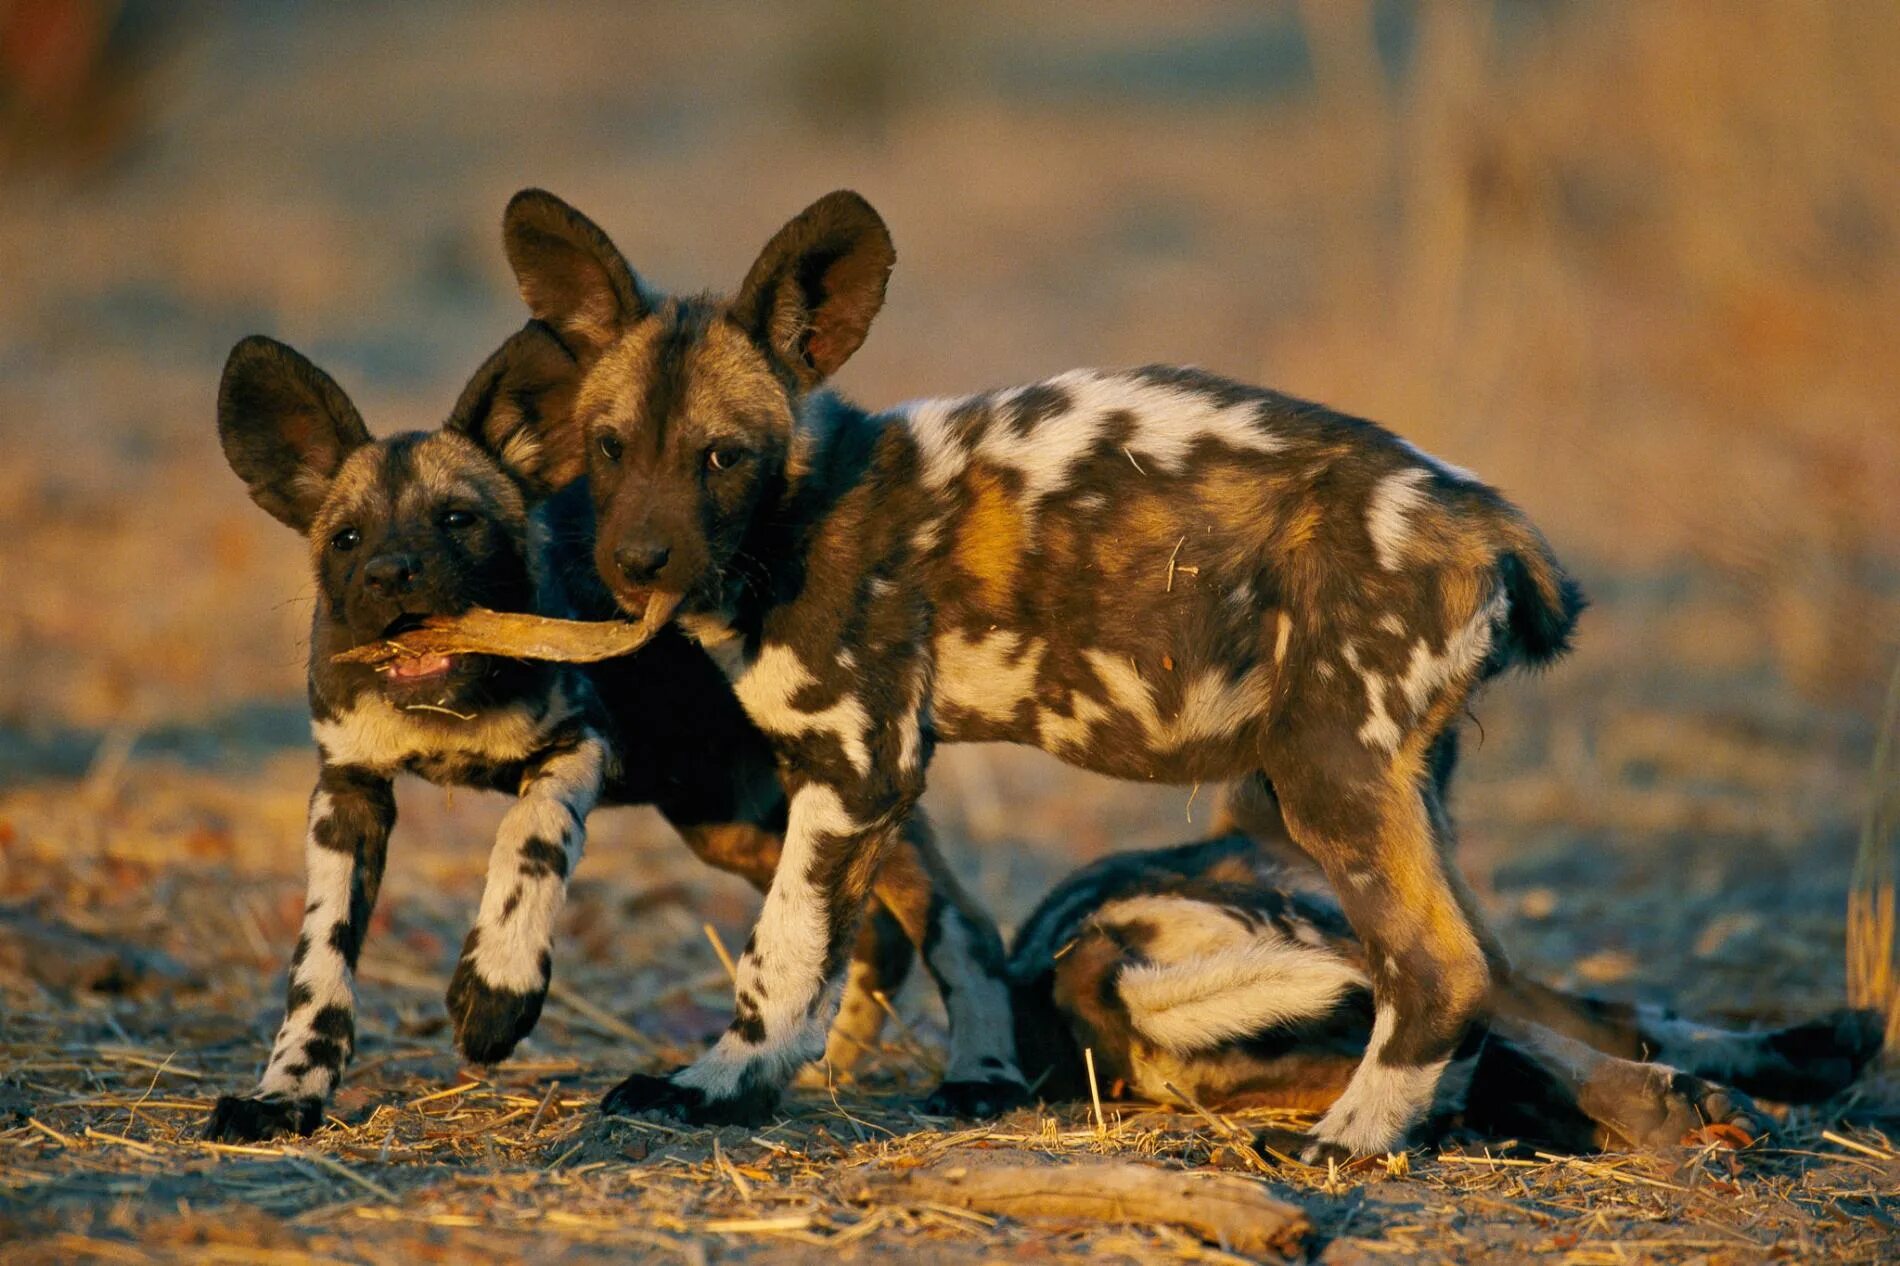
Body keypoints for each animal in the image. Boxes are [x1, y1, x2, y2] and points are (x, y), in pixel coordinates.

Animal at [204, 330, 1026, 1140]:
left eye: (457, 521)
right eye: (346, 538)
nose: (389, 573)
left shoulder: (579, 741)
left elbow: (529, 839)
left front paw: (497, 987)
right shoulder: (347, 791)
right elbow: (319, 964)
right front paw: (285, 1093)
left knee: (959, 922)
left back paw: (981, 1077)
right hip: (735, 821)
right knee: (870, 930)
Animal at [1010, 828, 1884, 1155]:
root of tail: (1081, 957)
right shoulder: (1506, 981)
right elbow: (1630, 1016)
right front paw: (1804, 1053)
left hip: (1297, 1055)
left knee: (1486, 1081)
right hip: (1352, 958)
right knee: (1521, 1048)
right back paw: (1675, 1108)